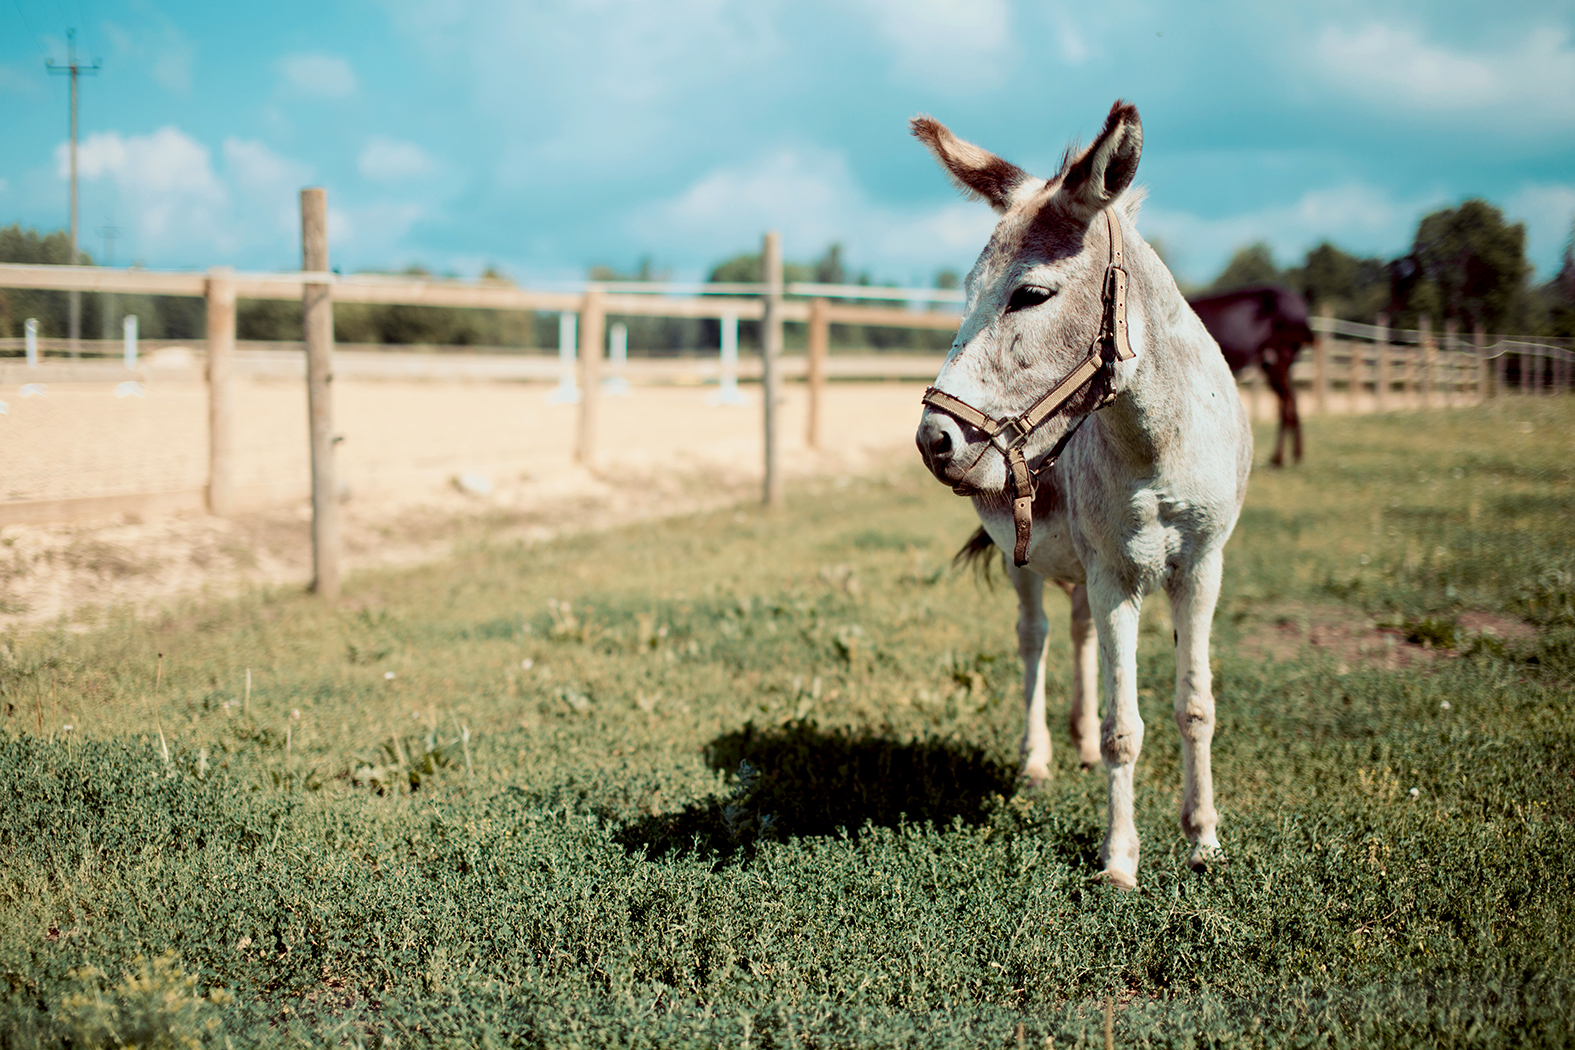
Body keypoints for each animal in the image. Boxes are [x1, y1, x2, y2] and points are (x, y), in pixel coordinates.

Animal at [1184, 288, 1310, 469]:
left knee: (1286, 403)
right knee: (1290, 399)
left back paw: (1278, 459)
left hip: (1280, 356)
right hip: (1273, 364)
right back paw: (1293, 455)